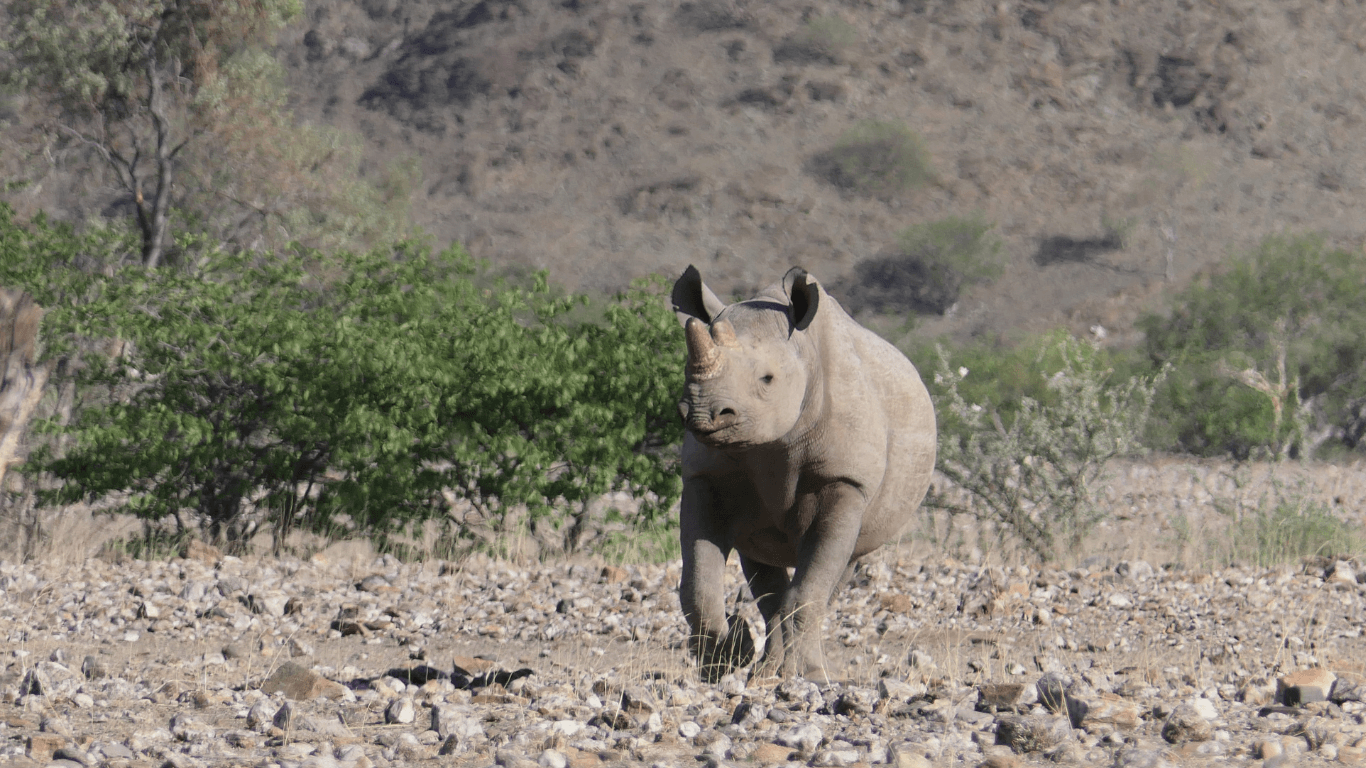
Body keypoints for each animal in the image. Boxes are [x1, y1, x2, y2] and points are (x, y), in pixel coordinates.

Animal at [674, 265, 939, 680]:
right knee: (765, 571)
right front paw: (725, 662)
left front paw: (809, 675)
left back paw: (802, 669)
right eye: (686, 371)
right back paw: (765, 670)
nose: (703, 414)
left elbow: (811, 586)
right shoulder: (704, 476)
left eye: (767, 379)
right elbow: (698, 584)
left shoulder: (844, 479)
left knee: (837, 569)